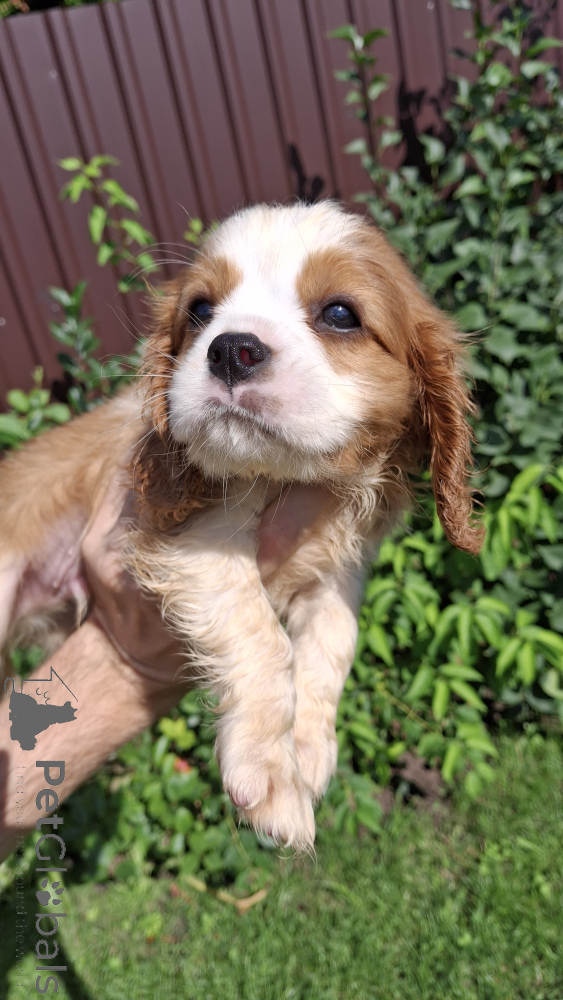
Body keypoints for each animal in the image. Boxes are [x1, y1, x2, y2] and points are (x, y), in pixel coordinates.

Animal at [0, 201, 483, 849]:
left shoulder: (339, 571)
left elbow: (333, 640)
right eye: (200, 311)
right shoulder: (189, 537)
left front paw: (310, 748)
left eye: (340, 314)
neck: (289, 477)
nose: (231, 349)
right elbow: (264, 637)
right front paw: (273, 772)